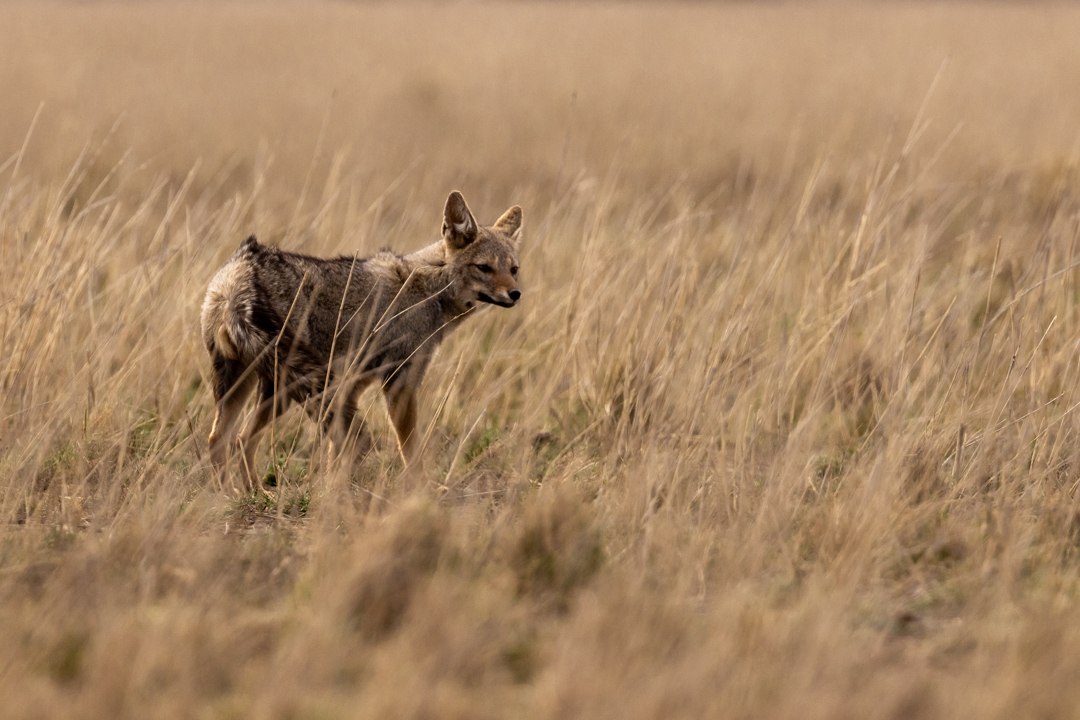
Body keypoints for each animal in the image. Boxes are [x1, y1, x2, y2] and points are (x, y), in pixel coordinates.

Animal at [200, 191, 523, 489]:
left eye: (513, 269)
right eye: (484, 268)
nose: (515, 294)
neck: (429, 289)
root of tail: (238, 274)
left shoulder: (353, 387)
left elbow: (336, 458)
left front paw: (333, 491)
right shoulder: (399, 384)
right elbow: (410, 451)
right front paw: (420, 490)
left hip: (262, 387)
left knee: (228, 439)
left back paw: (239, 495)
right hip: (286, 387)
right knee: (237, 439)